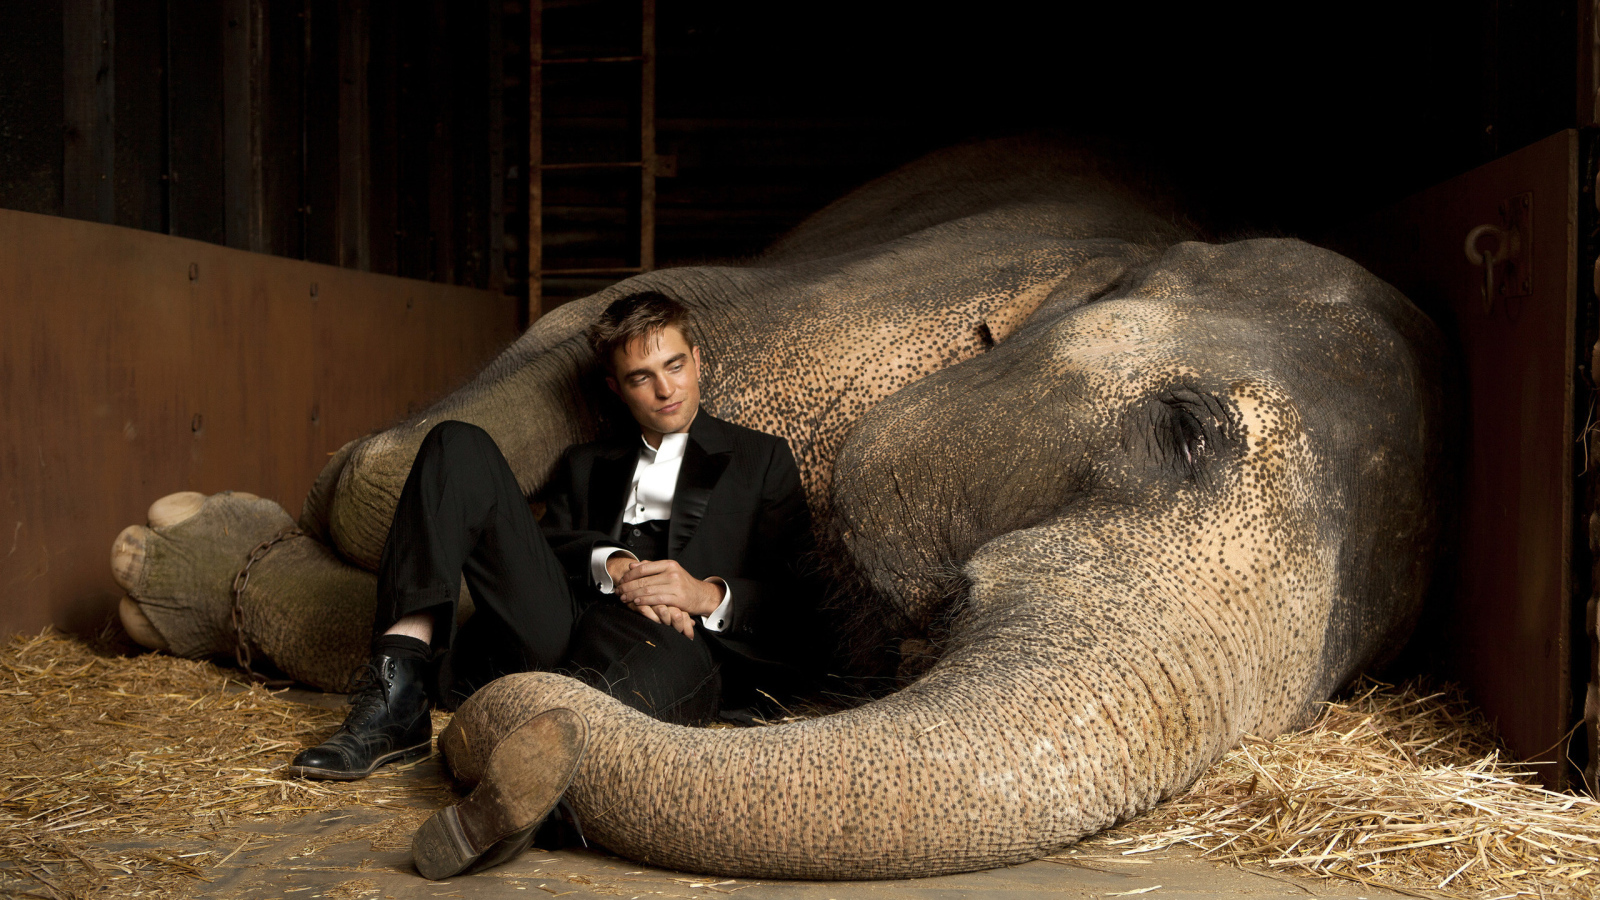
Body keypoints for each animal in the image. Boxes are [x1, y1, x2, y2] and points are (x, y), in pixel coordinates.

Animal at [110, 136, 1445, 879]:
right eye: (1183, 427)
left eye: (1345, 680)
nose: (506, 759)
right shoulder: (834, 301)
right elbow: (462, 422)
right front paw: (185, 539)